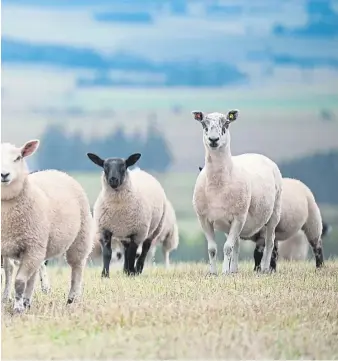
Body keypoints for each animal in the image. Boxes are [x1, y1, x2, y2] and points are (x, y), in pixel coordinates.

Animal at [1, 139, 93, 310]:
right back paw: (27, 301)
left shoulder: (32, 246)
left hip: (80, 238)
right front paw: (19, 303)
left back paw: (72, 299)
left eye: (18, 158)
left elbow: (19, 282)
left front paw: (17, 308)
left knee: (77, 268)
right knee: (32, 274)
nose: (4, 175)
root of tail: (56, 171)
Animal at [193, 109, 282, 272]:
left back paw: (265, 269)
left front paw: (223, 272)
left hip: (274, 214)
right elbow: (212, 249)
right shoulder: (204, 219)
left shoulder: (239, 217)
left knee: (270, 242)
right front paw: (213, 272)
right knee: (237, 244)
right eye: (204, 124)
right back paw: (233, 270)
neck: (218, 186)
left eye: (226, 123)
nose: (213, 139)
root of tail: (257, 154)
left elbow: (227, 247)